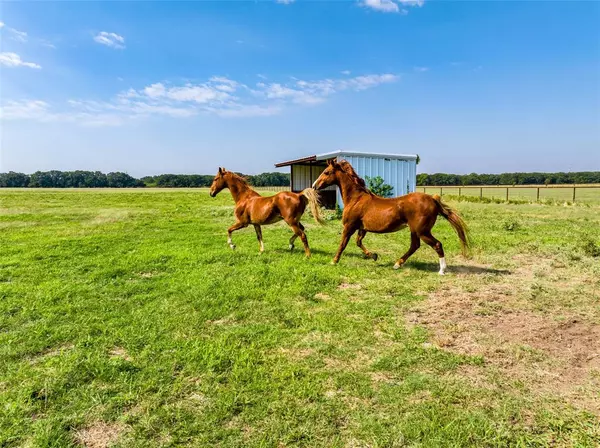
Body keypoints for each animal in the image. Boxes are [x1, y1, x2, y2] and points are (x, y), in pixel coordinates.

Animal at [312, 159, 472, 274]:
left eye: (326, 172)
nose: (314, 186)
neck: (356, 199)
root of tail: (433, 199)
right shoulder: (362, 228)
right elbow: (358, 243)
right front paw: (374, 256)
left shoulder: (349, 226)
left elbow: (343, 244)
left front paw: (334, 261)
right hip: (415, 231)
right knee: (415, 246)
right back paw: (397, 264)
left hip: (422, 231)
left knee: (437, 244)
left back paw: (441, 270)